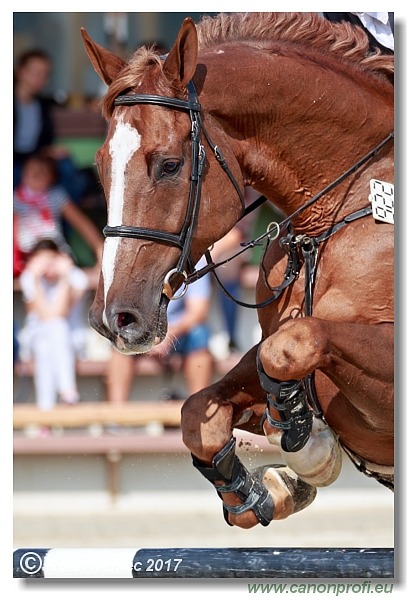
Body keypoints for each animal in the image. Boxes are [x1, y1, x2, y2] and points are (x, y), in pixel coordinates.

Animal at [81, 12, 394, 528]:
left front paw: (305, 445)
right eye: (101, 167)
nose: (114, 318)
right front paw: (274, 487)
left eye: (170, 166)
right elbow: (198, 411)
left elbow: (292, 347)